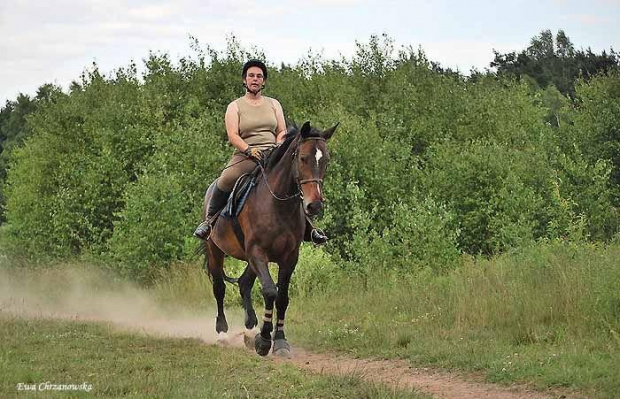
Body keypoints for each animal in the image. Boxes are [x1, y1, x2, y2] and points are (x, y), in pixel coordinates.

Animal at [202, 121, 340, 356]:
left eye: (326, 160)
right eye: (303, 158)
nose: (314, 206)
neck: (278, 205)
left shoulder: (289, 257)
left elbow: (282, 297)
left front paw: (280, 341)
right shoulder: (258, 252)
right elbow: (269, 291)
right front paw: (264, 341)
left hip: (249, 260)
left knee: (244, 283)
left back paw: (250, 330)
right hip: (215, 250)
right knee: (219, 288)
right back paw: (222, 333)